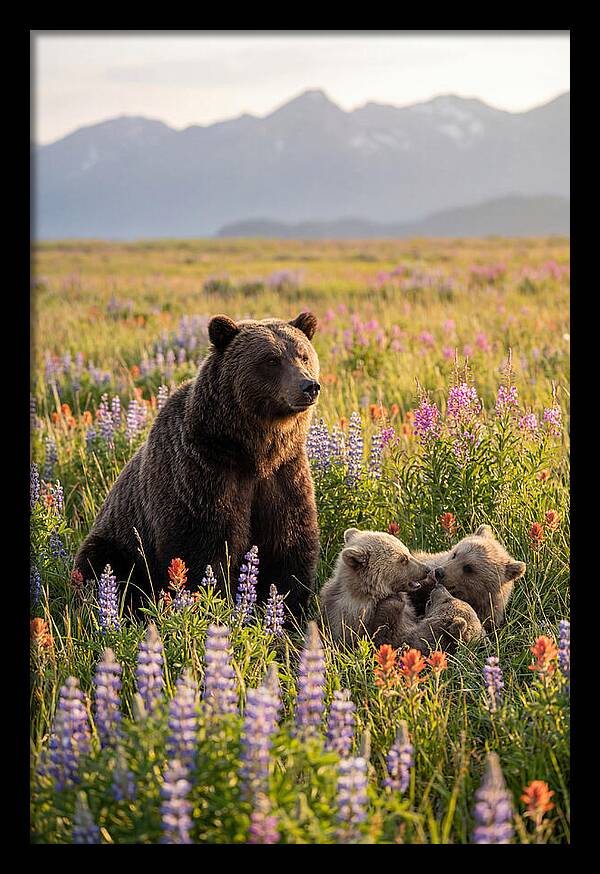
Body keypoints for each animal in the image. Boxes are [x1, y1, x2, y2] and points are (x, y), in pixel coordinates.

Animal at [74, 311, 322, 620]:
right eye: (271, 360)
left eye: (303, 355)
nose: (308, 386)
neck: (253, 451)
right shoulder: (202, 473)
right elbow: (202, 549)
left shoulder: (284, 475)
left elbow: (289, 546)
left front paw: (288, 614)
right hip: (118, 541)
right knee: (103, 568)